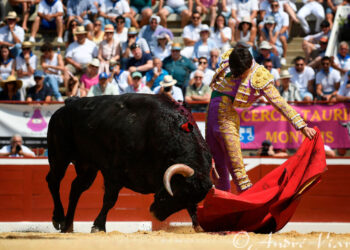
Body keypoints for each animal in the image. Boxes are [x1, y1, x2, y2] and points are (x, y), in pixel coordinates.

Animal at [45, 94, 212, 232]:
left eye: (185, 198)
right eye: (177, 192)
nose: (155, 214)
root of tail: (67, 105)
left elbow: (193, 209)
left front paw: (198, 227)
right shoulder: (114, 173)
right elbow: (110, 200)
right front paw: (99, 226)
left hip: (87, 167)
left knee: (76, 189)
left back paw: (68, 226)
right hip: (59, 156)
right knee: (53, 180)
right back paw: (58, 219)